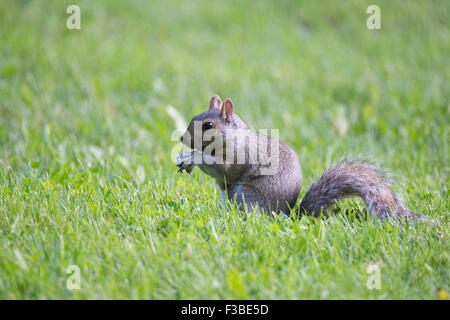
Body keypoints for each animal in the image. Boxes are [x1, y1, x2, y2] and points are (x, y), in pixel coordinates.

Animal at [177, 94, 426, 221]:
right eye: (195, 117)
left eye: (208, 125)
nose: (182, 138)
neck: (233, 137)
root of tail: (288, 215)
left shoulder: (240, 157)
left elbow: (225, 170)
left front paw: (192, 157)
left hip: (244, 195)